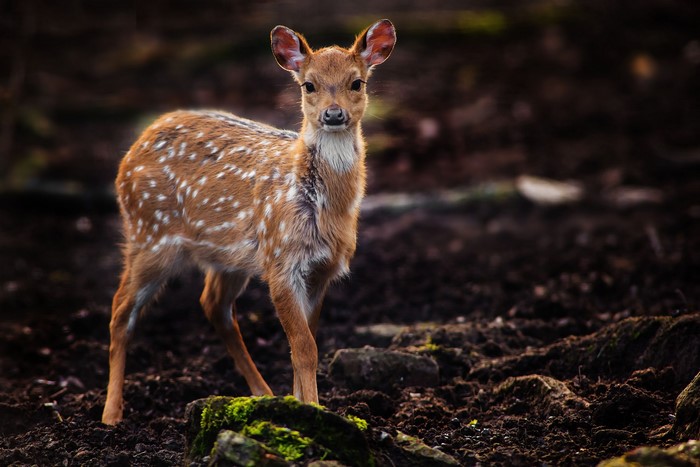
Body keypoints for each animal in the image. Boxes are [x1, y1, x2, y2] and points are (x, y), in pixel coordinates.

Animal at [101, 20, 396, 425]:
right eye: (308, 85)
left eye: (357, 82)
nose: (334, 114)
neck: (324, 208)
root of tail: (133, 148)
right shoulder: (280, 260)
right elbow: (304, 347)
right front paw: (313, 410)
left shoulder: (321, 270)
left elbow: (306, 342)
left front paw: (299, 404)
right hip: (149, 233)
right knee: (120, 311)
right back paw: (111, 415)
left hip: (227, 256)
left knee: (213, 304)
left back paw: (263, 394)